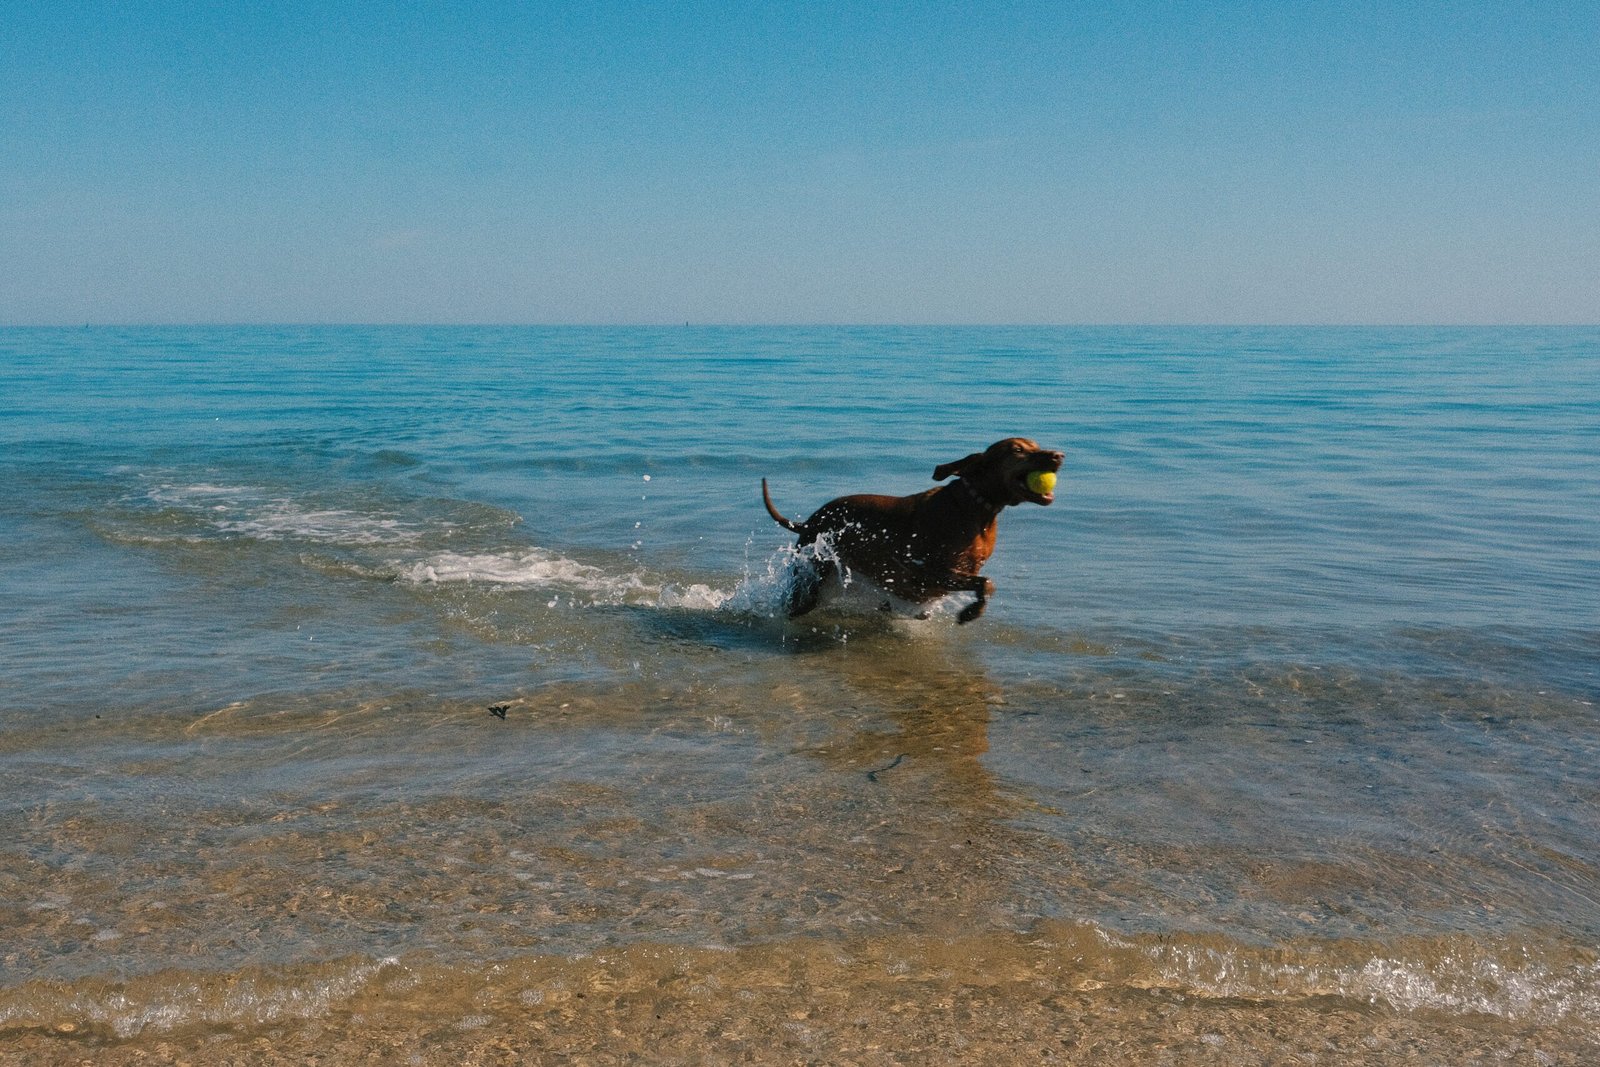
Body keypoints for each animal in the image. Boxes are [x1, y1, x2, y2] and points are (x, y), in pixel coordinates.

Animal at [758, 438, 1062, 627]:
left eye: (1035, 445)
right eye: (1018, 450)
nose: (1059, 456)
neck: (976, 506)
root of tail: (810, 522)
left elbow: (983, 582)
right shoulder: (927, 571)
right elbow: (986, 583)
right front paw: (970, 612)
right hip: (811, 576)